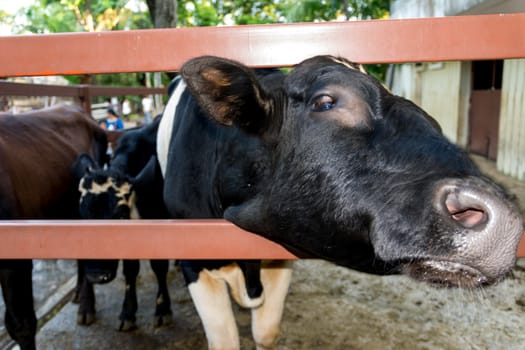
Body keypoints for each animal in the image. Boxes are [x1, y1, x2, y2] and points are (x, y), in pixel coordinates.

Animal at [72, 117, 172, 330]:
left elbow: (159, 266)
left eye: (121, 216)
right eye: (82, 215)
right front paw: (128, 312)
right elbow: (130, 269)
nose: (96, 275)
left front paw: (162, 309)